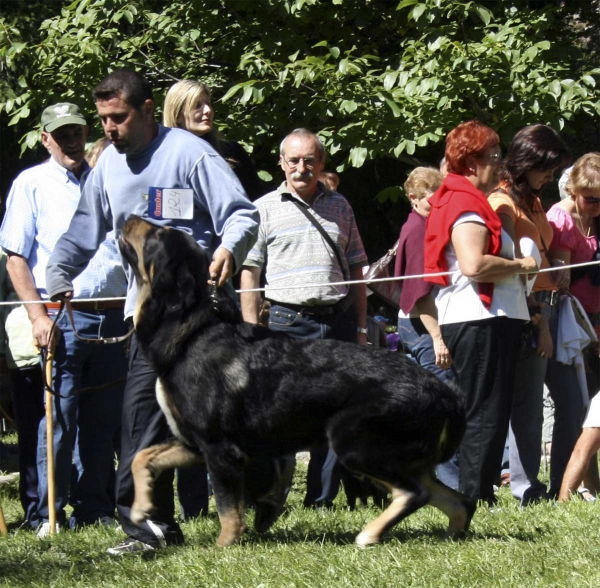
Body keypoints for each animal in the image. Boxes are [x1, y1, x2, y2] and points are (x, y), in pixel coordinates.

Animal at [119, 218, 476, 548]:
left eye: (158, 234)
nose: (129, 218)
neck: (192, 331)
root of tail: (444, 391)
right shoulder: (193, 442)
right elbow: (142, 458)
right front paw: (141, 509)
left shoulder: (219, 448)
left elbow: (228, 510)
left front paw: (224, 548)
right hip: (401, 458)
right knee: (457, 501)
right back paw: (451, 535)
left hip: (353, 442)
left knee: (414, 494)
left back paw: (370, 534)